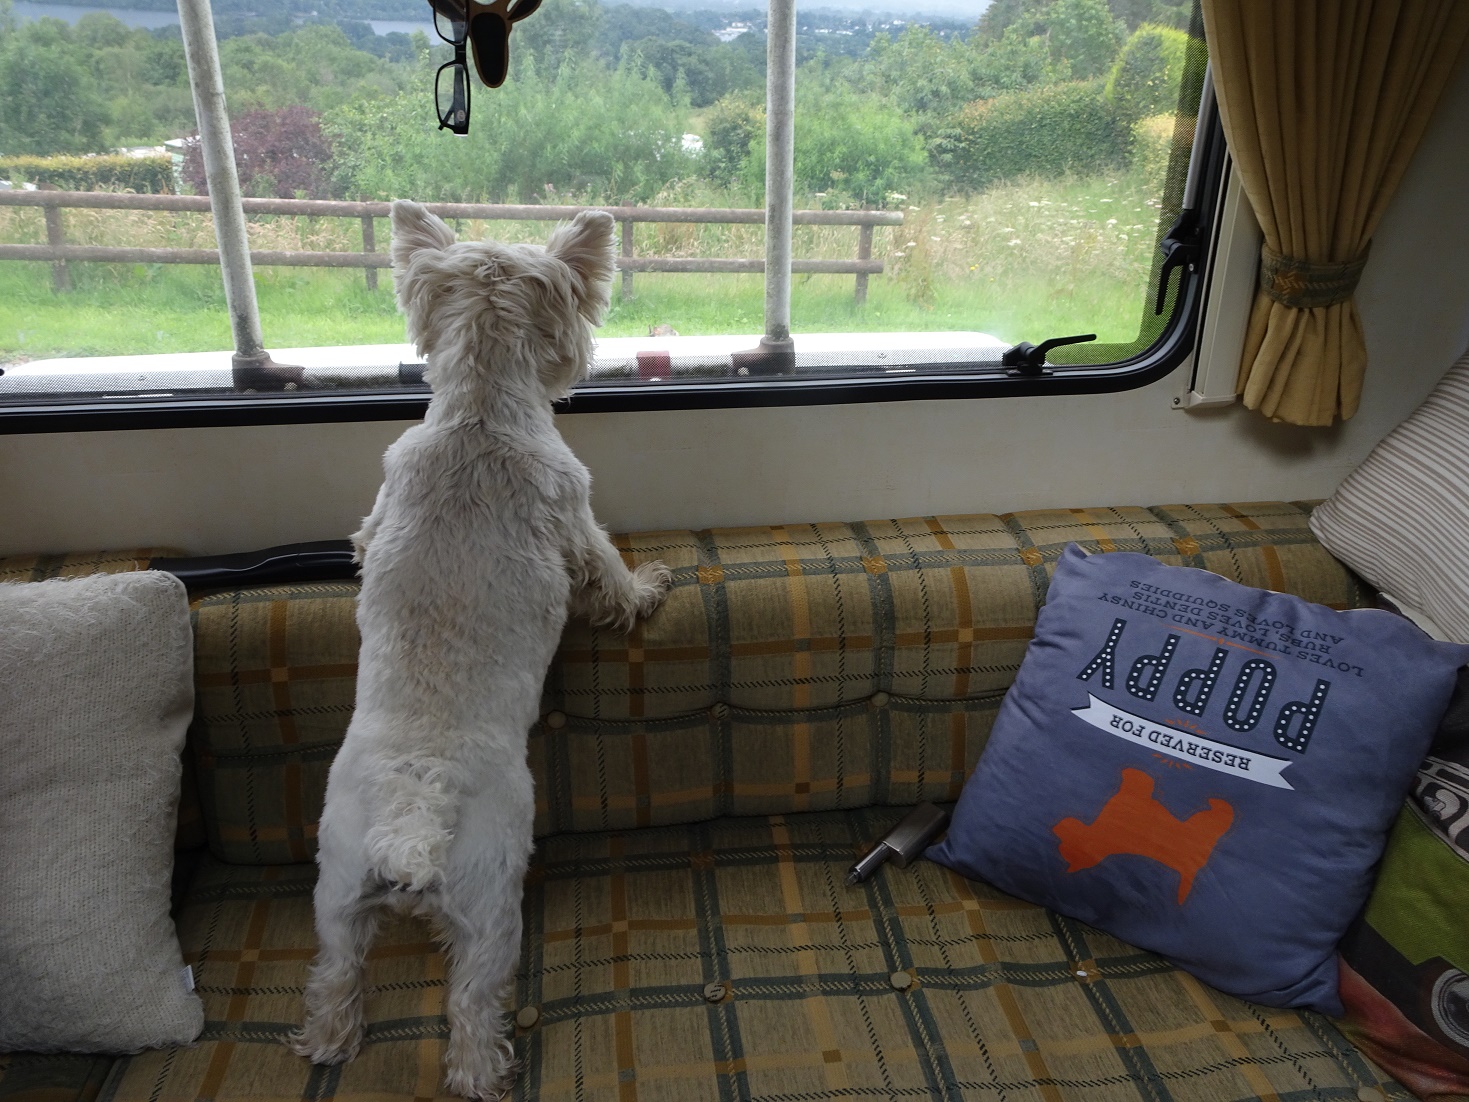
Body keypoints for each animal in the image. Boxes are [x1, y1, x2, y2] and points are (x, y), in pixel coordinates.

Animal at [289, 202, 669, 1099]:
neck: (480, 412)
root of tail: (412, 816)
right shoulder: (577, 518)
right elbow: (607, 573)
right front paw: (645, 590)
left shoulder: (378, 507)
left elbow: (361, 538)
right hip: (491, 907)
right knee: (466, 1010)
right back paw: (485, 1073)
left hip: (337, 890)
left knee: (334, 979)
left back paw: (327, 1043)